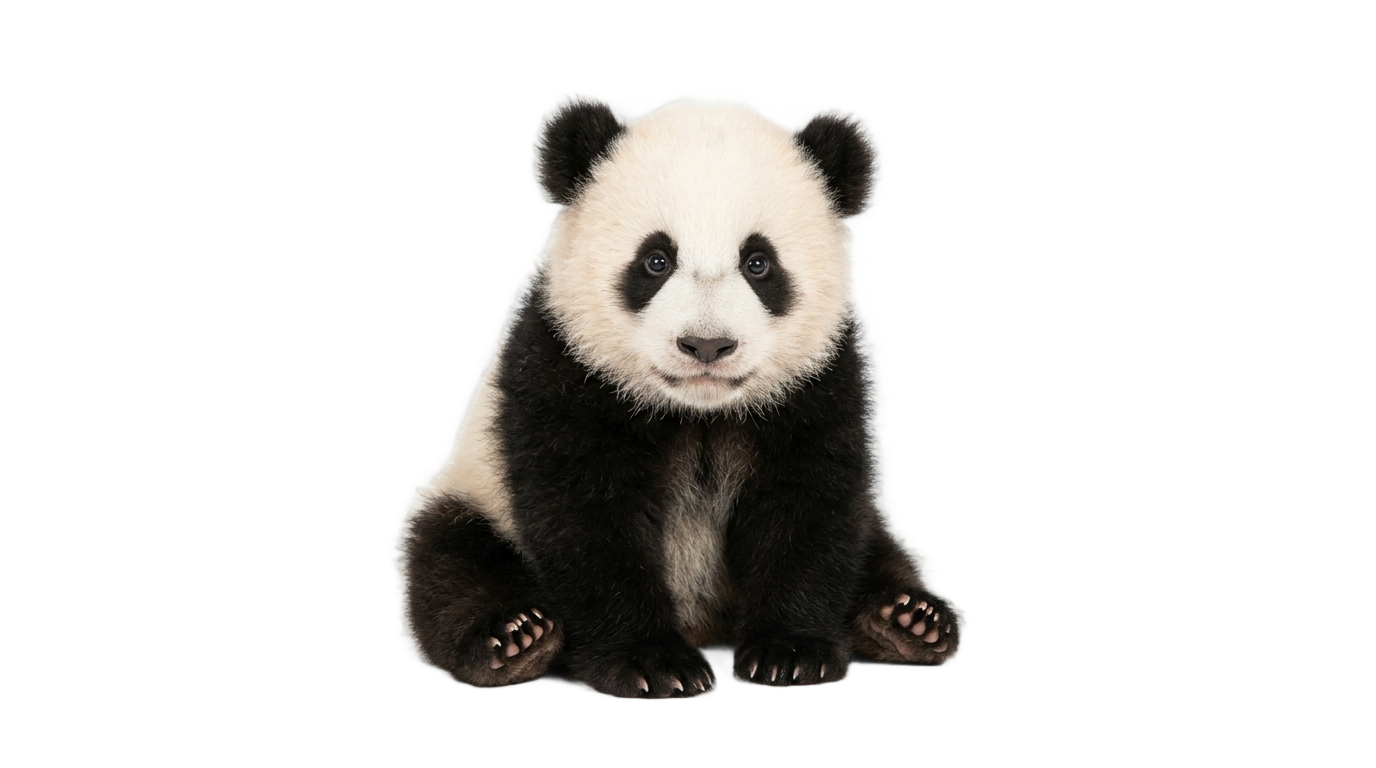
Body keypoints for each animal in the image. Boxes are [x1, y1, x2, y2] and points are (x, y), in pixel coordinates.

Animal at [401, 99, 958, 697]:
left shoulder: (819, 381)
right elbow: (585, 517)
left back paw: (904, 621)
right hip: (477, 492)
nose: (706, 345)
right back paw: (515, 640)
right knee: (451, 561)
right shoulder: (561, 367)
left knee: (874, 544)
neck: (699, 411)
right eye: (656, 260)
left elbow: (807, 505)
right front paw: (649, 662)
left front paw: (790, 652)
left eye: (758, 263)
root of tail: (705, 625)